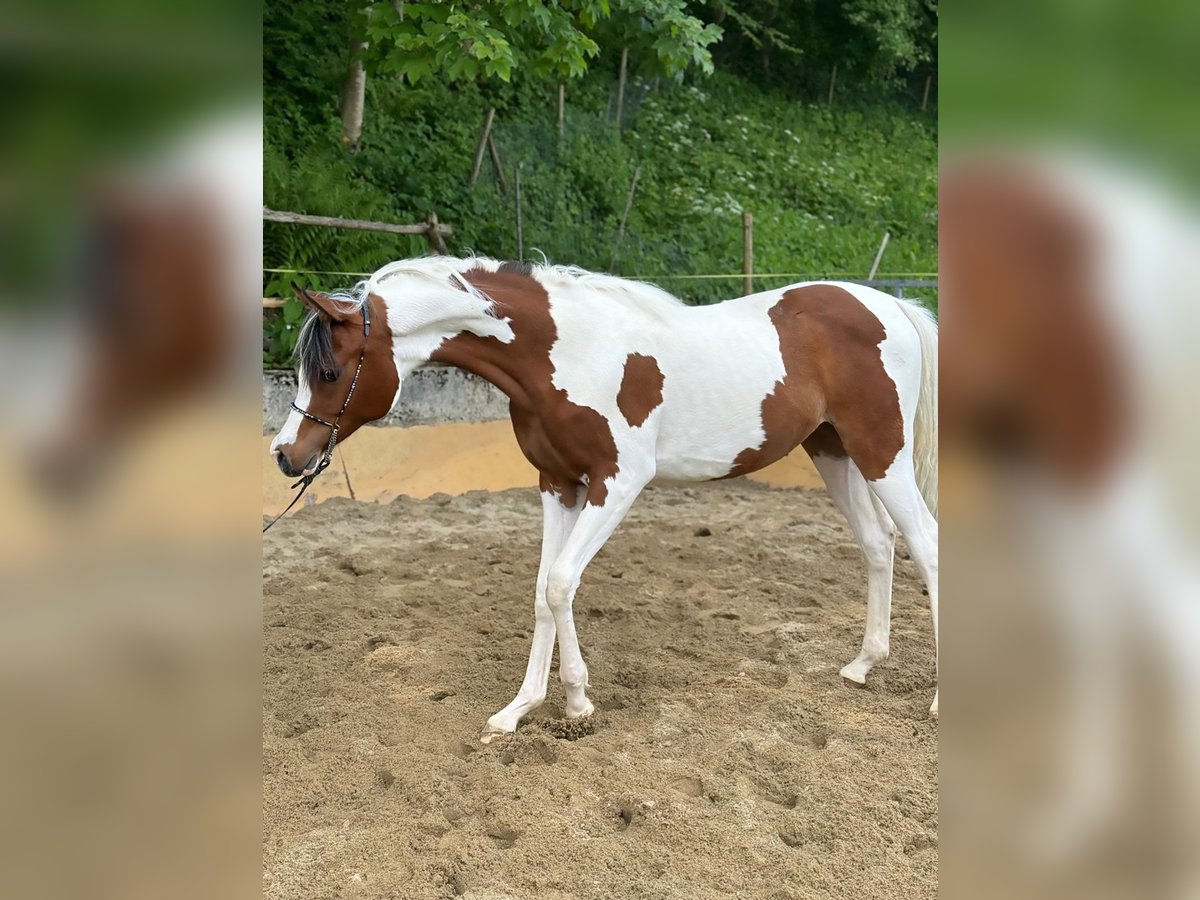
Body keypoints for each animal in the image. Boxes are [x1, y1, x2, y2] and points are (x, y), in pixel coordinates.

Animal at [272, 256, 936, 744]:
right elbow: (542, 591)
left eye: (329, 372)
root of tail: (892, 307)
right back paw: (862, 665)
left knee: (925, 545)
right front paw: (519, 709)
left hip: (882, 453)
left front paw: (577, 703)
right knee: (879, 543)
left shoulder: (618, 482)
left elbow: (562, 581)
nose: (285, 455)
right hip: (833, 452)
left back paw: (932, 704)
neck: (562, 353)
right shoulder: (557, 484)